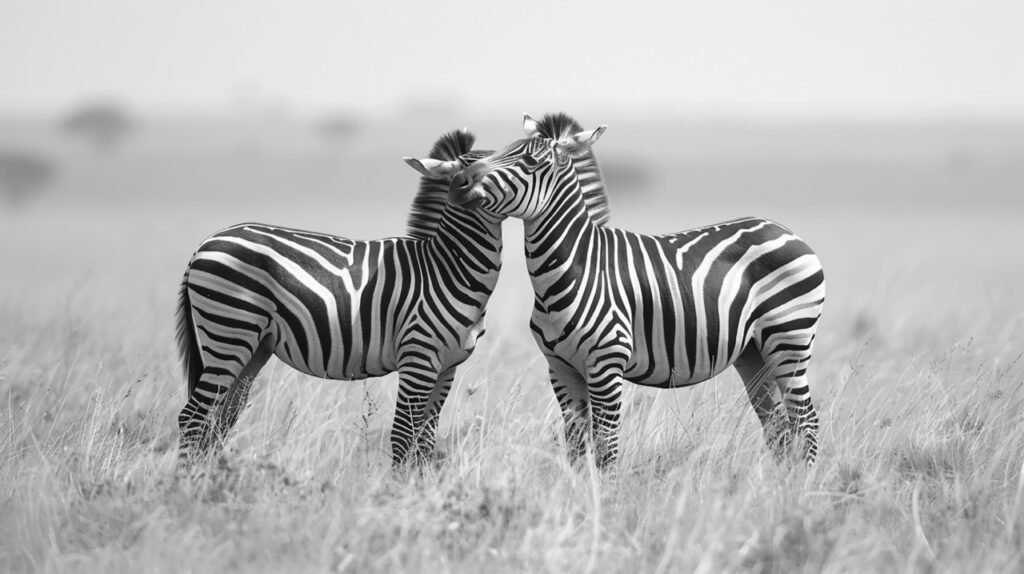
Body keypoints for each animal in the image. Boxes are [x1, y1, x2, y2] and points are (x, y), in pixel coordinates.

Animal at [446, 115, 823, 466]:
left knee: (806, 422)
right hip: (754, 353)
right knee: (778, 427)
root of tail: (785, 230)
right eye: (498, 151)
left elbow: (606, 447)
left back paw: (801, 485)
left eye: (529, 162)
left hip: (789, 339)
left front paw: (605, 493)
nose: (457, 182)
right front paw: (578, 491)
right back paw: (777, 485)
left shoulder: (606, 364)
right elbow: (576, 445)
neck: (574, 267)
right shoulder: (560, 368)